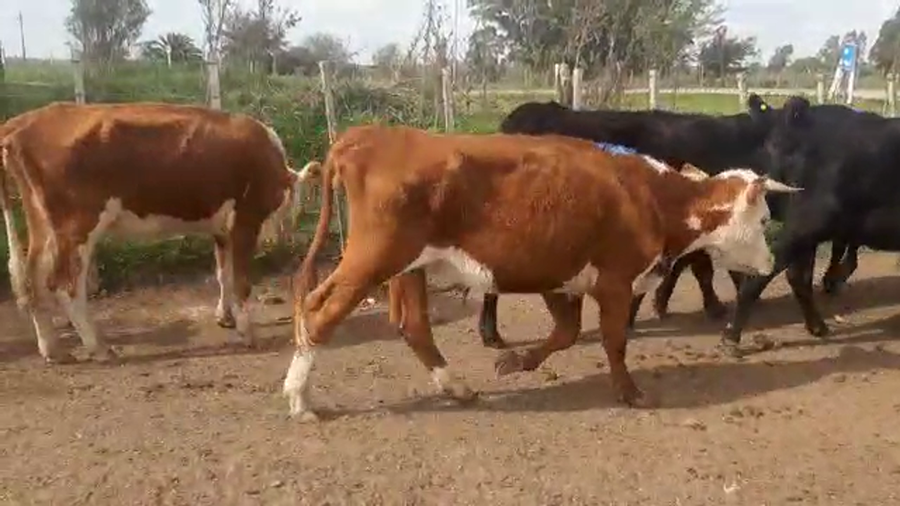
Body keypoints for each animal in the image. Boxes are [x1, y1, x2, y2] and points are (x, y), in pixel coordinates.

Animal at [0, 101, 308, 363]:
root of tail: (24, 121)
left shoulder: (222, 228)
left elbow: (224, 273)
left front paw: (225, 317)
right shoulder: (246, 218)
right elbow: (242, 280)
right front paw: (248, 333)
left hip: (44, 226)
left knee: (34, 279)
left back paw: (52, 350)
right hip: (78, 226)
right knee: (65, 285)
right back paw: (98, 347)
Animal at [281, 124, 800, 421]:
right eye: (763, 219)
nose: (769, 263)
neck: (651, 197)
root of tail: (369, 134)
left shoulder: (559, 275)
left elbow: (566, 333)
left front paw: (515, 362)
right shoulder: (615, 280)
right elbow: (614, 340)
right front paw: (630, 393)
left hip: (411, 266)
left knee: (413, 326)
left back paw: (457, 388)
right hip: (376, 257)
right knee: (320, 312)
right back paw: (299, 399)